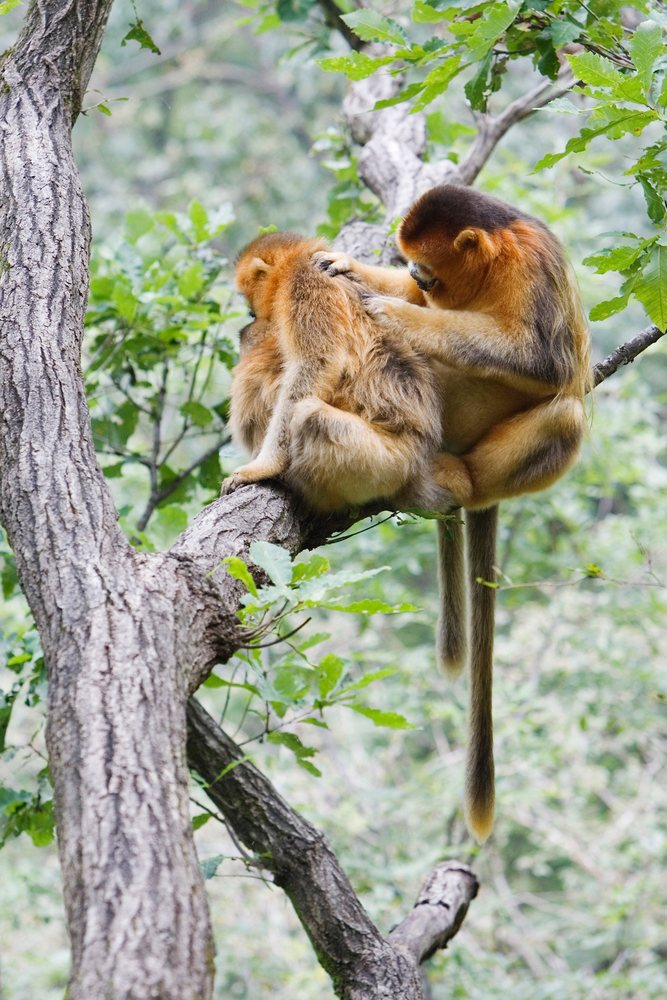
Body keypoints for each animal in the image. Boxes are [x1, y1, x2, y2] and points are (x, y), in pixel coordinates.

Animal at [223, 231, 450, 514]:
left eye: (248, 296)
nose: (251, 312)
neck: (297, 259)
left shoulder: (304, 281)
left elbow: (317, 363)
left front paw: (264, 466)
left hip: (385, 463)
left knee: (307, 413)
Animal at [317, 184, 591, 842]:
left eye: (432, 268)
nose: (422, 280)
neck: (496, 259)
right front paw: (352, 270)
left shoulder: (533, 265)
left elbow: (543, 360)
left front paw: (396, 312)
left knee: (565, 413)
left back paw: (467, 484)